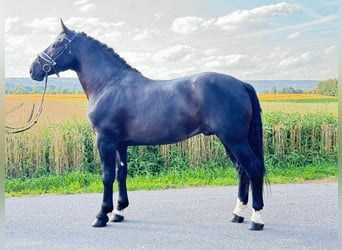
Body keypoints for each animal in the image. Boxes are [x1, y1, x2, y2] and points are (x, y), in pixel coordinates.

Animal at [30, 21, 266, 230]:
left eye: (56, 44)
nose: (33, 69)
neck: (109, 84)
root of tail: (240, 83)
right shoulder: (121, 144)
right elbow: (121, 173)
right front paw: (118, 212)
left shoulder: (105, 141)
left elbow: (107, 175)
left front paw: (102, 215)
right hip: (228, 140)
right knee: (242, 170)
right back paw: (237, 214)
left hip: (234, 139)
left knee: (253, 168)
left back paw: (256, 219)